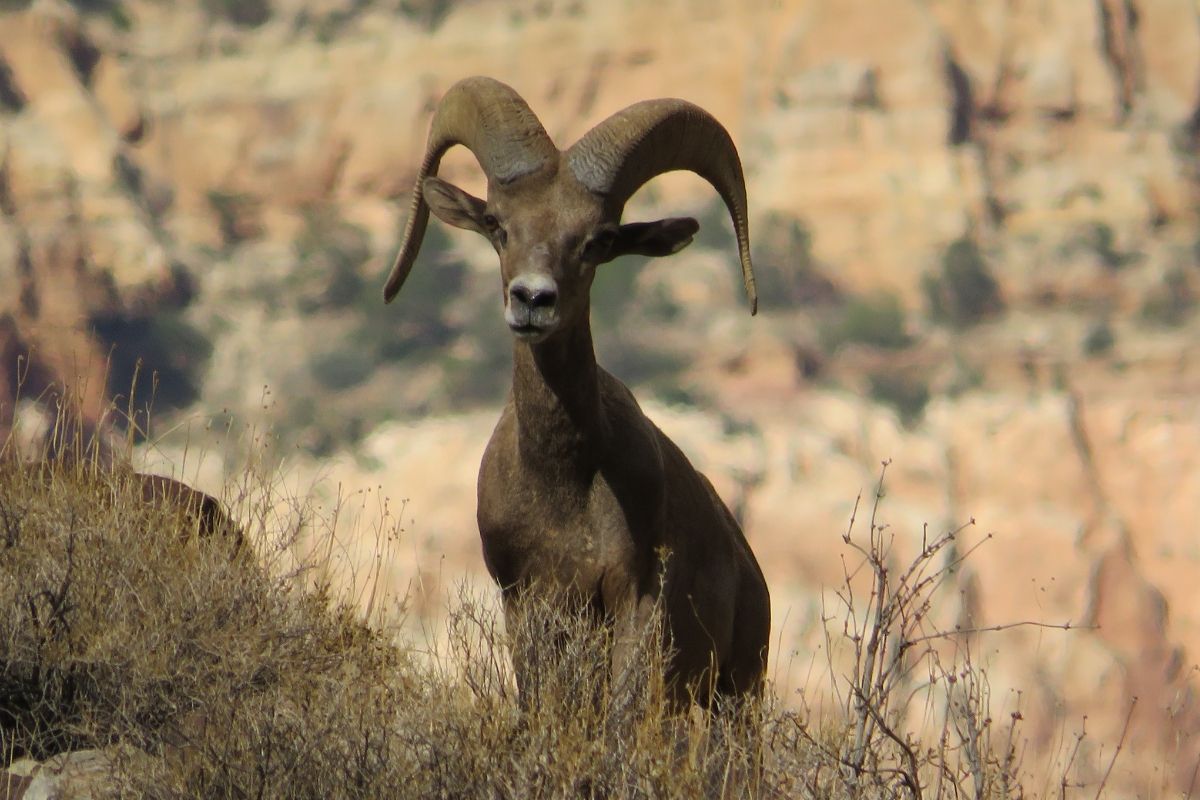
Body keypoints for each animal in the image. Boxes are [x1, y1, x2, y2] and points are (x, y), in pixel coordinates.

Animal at [382, 76, 770, 708]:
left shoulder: (634, 599)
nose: (532, 300)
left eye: (597, 240)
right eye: (498, 225)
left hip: (737, 695)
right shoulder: (527, 604)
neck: (565, 488)